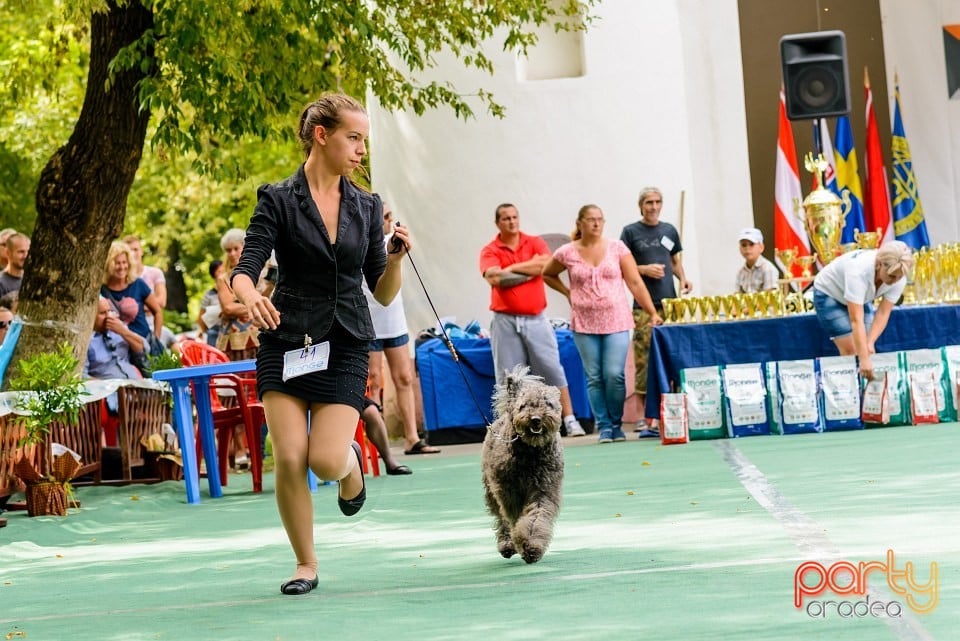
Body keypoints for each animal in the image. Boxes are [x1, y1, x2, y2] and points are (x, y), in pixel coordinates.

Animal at [480, 364, 564, 564]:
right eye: (523, 405)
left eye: (548, 403)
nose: (536, 419)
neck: (531, 453)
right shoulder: (510, 493)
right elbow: (515, 518)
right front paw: (523, 544)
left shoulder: (543, 490)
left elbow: (535, 518)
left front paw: (531, 546)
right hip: (492, 491)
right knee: (501, 519)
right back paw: (507, 545)